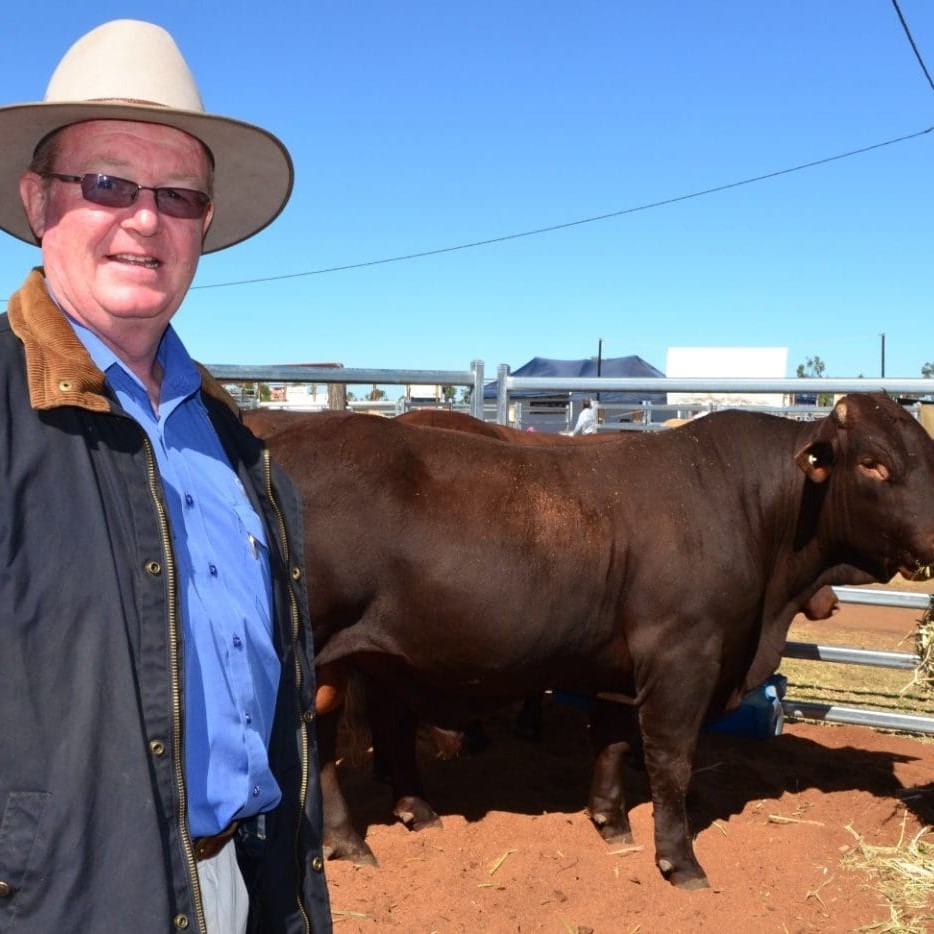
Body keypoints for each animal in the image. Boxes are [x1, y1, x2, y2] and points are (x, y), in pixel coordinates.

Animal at [260, 394, 934, 892]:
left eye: (926, 453)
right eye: (872, 463)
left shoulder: (620, 664)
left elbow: (611, 741)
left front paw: (611, 823)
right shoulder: (684, 656)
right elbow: (671, 762)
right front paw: (679, 862)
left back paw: (371, 831)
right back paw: (354, 838)